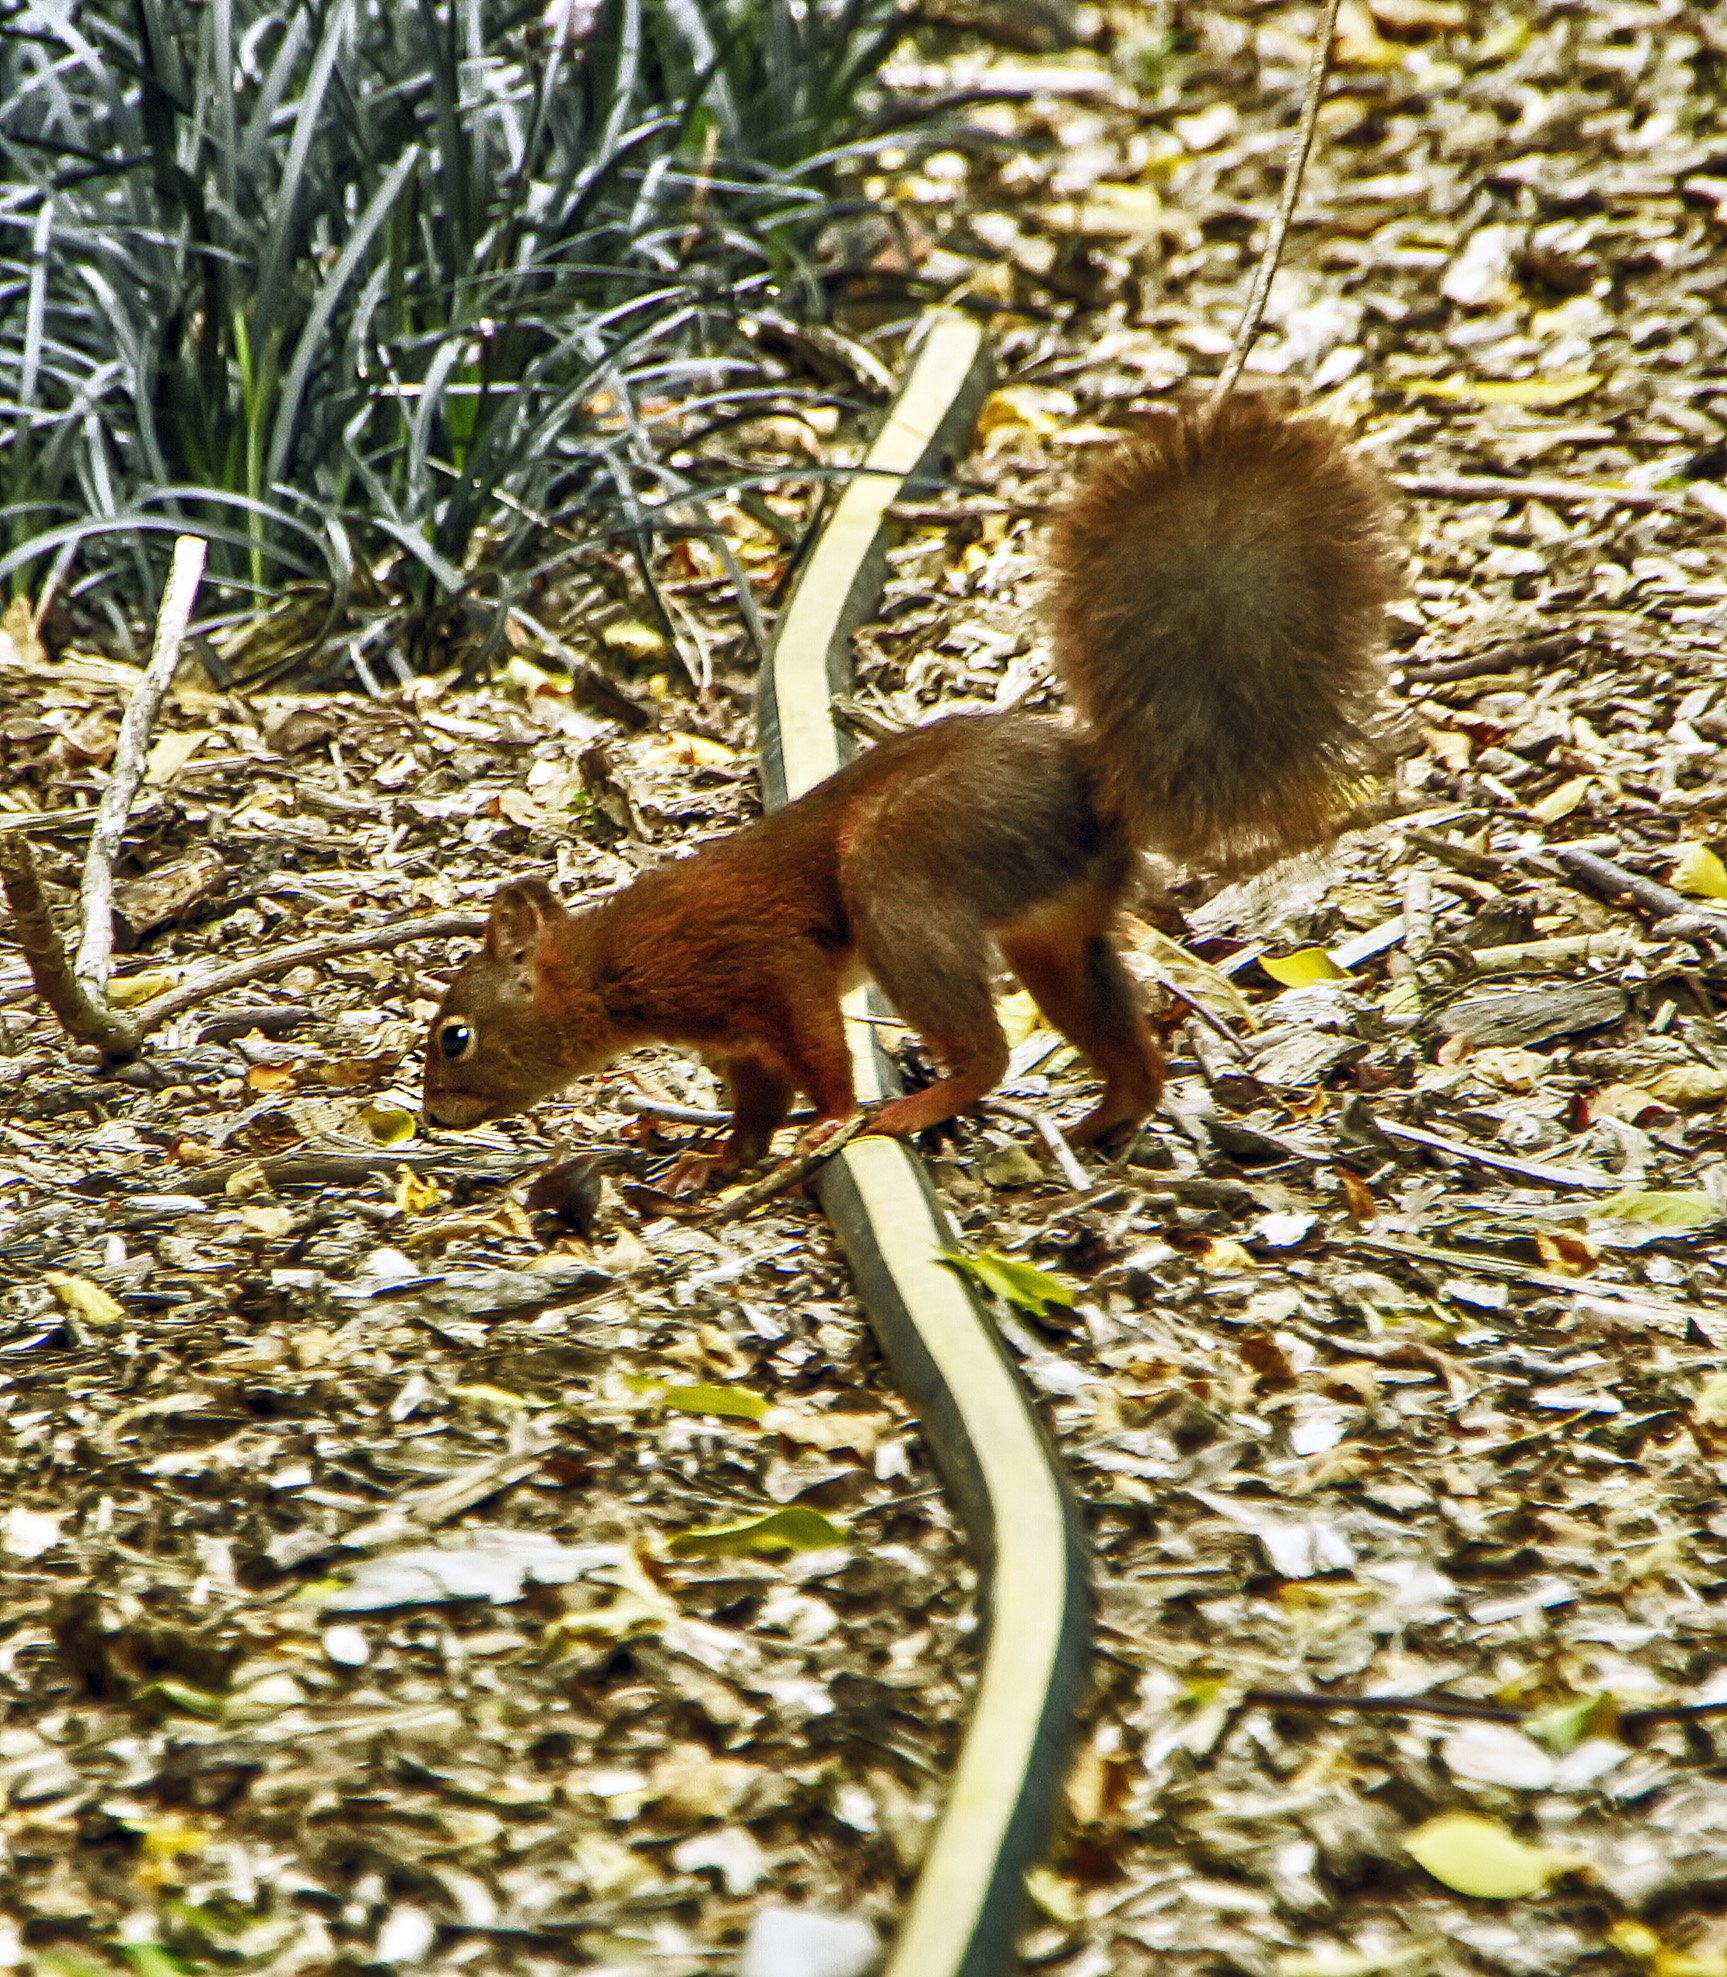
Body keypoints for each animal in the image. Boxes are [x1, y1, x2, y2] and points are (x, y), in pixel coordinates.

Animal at [424, 401, 1406, 1170]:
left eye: (454, 1036)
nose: (432, 1115)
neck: (605, 967)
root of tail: (1094, 782)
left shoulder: (760, 966)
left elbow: (816, 1057)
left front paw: (823, 1122)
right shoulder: (739, 1045)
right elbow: (755, 1104)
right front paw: (719, 1160)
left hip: (899, 877)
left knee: (986, 1053)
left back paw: (914, 1108)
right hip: (1053, 937)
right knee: (1124, 1049)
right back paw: (1097, 1124)